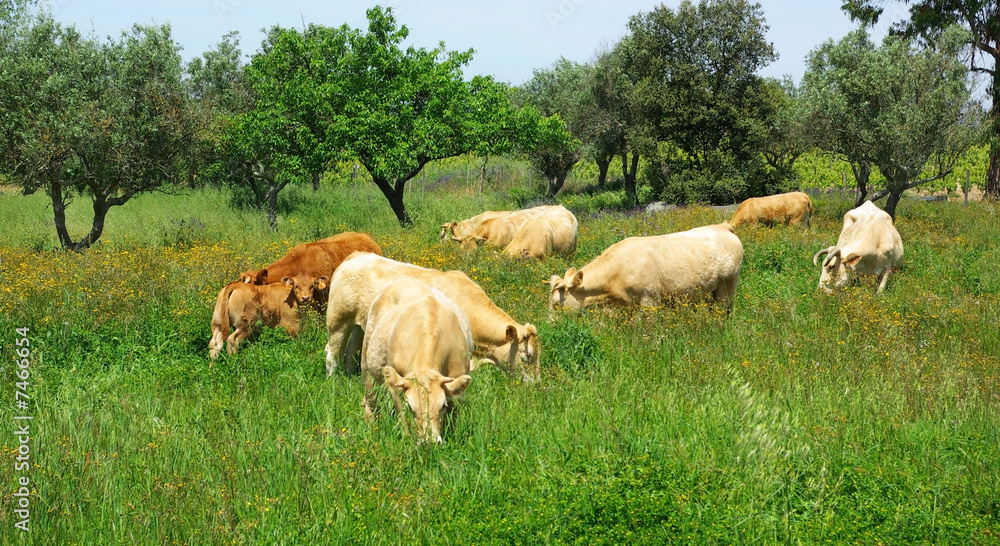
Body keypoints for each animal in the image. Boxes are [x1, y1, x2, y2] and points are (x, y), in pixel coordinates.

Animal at [325, 253, 540, 382]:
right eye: (527, 356)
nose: (537, 384)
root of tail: (357, 256)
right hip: (338, 321)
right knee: (332, 351)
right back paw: (332, 379)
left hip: (359, 325)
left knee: (350, 350)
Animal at [361, 277, 473, 444]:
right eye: (411, 408)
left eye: (442, 406)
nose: (429, 442)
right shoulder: (396, 385)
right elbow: (402, 417)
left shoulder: (458, 386)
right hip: (366, 365)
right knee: (371, 400)